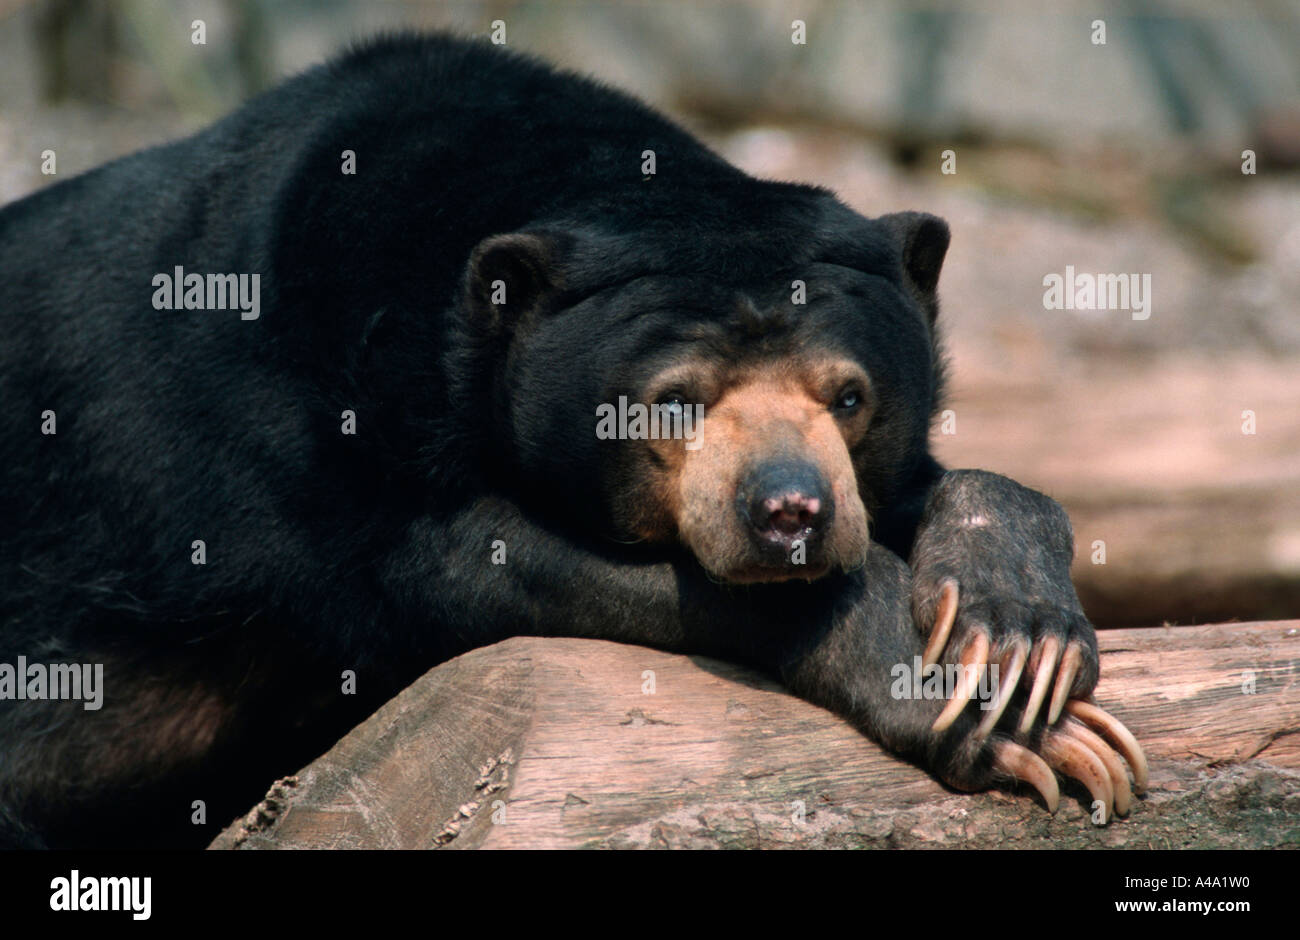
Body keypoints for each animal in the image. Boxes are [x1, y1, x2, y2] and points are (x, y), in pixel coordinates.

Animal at [0, 33, 1144, 849]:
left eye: (850, 395)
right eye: (671, 404)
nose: (790, 513)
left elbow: (961, 487)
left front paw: (1018, 634)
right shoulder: (308, 449)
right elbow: (474, 567)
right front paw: (1013, 723)